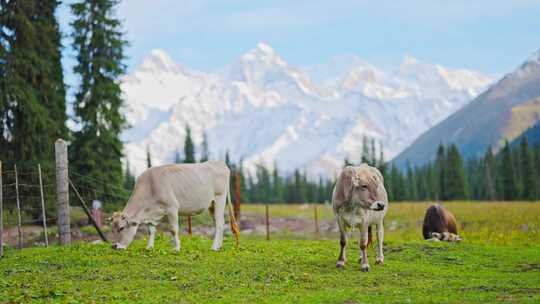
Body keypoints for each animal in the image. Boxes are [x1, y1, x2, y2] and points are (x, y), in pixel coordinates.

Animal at [110, 162, 239, 252]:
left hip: (220, 198)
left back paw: (214, 247)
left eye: (121, 228)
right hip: (211, 204)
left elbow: (173, 229)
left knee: (219, 223)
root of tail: (219, 162)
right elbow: (151, 230)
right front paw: (149, 247)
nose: (114, 246)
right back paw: (219, 246)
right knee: (220, 222)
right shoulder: (153, 213)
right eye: (112, 228)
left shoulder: (172, 207)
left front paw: (177, 248)